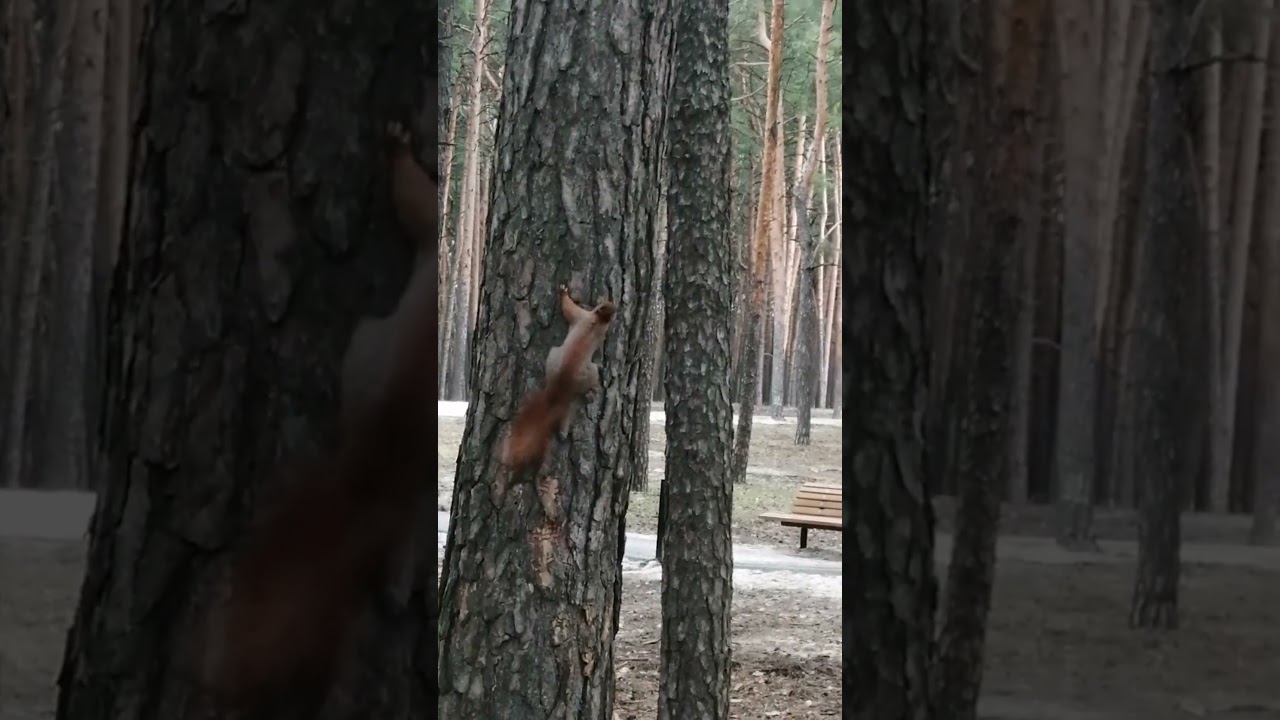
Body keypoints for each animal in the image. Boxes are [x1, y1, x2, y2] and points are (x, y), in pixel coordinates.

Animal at [500, 287, 616, 471]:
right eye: (605, 305)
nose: (609, 301)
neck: (598, 320)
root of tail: (560, 385)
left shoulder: (583, 316)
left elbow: (569, 309)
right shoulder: (586, 317)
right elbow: (570, 309)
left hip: (567, 362)